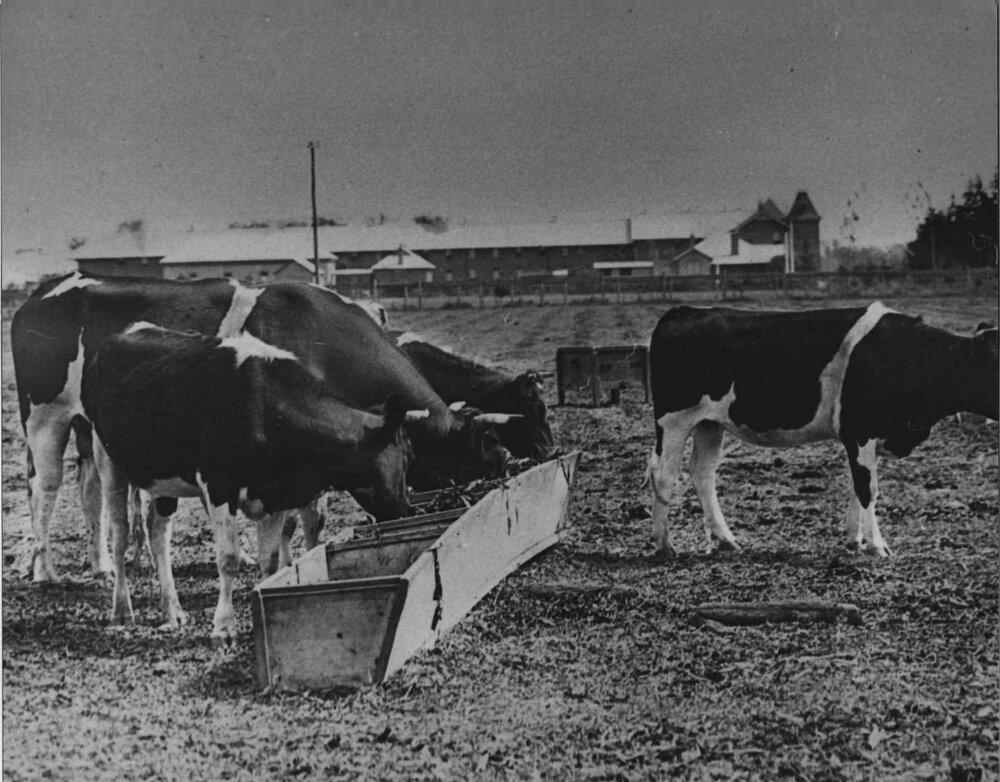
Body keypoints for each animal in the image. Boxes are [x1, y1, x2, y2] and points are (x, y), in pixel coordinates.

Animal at [11, 272, 509, 583]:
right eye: (477, 451)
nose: (506, 462)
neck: (318, 338)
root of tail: (41, 291)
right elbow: (294, 519)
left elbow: (309, 516)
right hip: (45, 416)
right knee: (44, 488)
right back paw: (46, 571)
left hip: (90, 429)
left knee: (89, 489)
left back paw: (102, 566)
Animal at [82, 323, 423, 643]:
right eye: (408, 455)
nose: (408, 510)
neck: (264, 408)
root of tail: (129, 330)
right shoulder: (219, 486)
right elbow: (228, 559)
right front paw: (223, 627)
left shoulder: (275, 497)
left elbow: (269, 560)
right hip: (107, 459)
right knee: (120, 535)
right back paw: (122, 611)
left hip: (163, 477)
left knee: (158, 534)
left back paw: (172, 610)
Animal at [647, 302, 999, 557]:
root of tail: (686, 311)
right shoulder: (859, 430)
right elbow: (867, 488)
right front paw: (876, 546)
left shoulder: (871, 436)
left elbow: (861, 486)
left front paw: (855, 541)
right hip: (674, 420)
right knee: (664, 476)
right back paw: (665, 546)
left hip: (709, 423)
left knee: (703, 473)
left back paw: (726, 540)